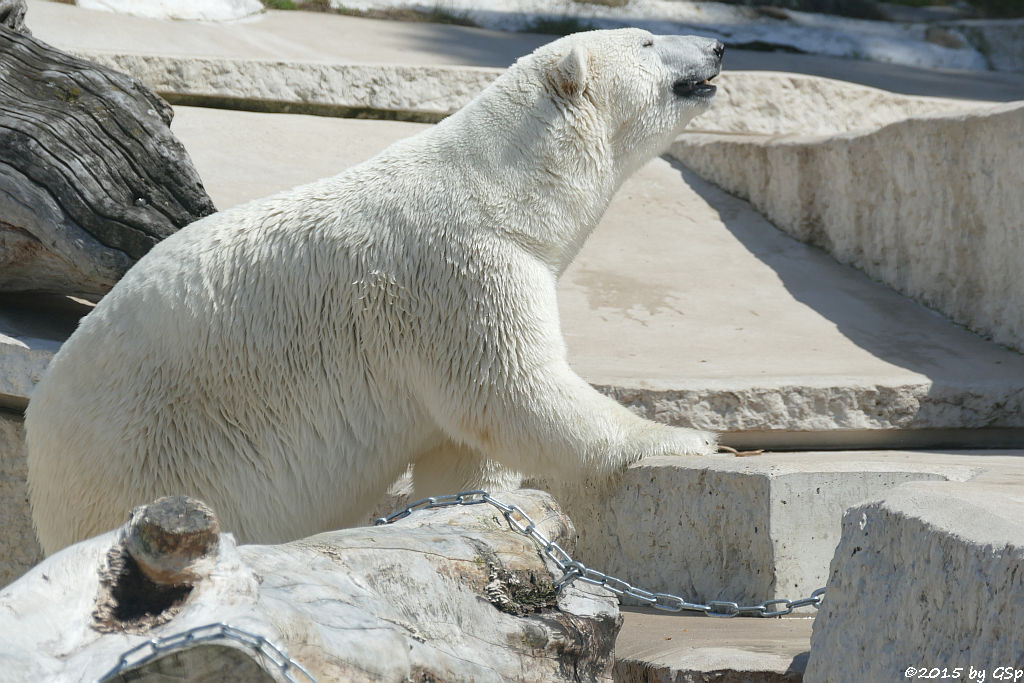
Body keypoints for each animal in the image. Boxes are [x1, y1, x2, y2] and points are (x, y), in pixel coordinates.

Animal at [28, 29, 724, 557]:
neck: (501, 188)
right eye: (647, 39)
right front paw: (687, 438)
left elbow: (464, 444)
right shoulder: (457, 272)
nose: (717, 46)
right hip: (144, 456)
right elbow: (514, 390)